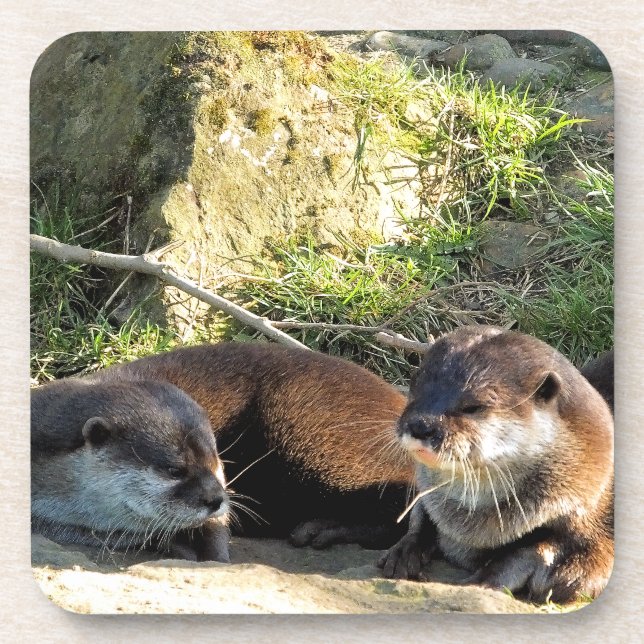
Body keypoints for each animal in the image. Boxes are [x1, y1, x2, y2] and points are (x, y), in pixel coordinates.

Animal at [378, 326, 613, 604]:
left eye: (473, 406)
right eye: (414, 387)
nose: (420, 425)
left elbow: (549, 558)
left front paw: (482, 581)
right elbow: (420, 516)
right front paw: (404, 550)